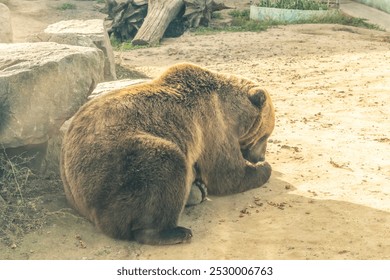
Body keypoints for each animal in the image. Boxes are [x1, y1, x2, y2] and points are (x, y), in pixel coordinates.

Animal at [60, 63, 274, 245]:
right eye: (266, 135)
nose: (260, 157)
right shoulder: (213, 124)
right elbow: (226, 173)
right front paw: (263, 168)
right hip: (116, 166)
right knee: (165, 163)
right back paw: (174, 231)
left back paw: (197, 191)